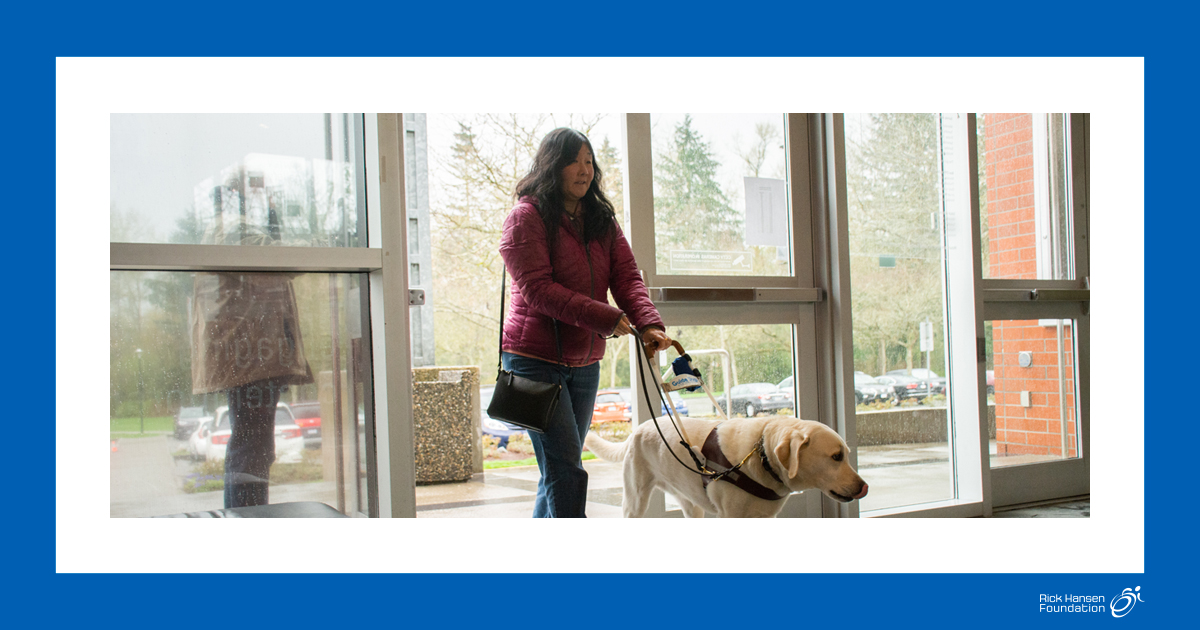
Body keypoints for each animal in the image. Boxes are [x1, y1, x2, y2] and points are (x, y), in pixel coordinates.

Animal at [585, 412, 868, 516]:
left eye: (846, 454)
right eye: (836, 457)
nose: (864, 487)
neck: (761, 457)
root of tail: (639, 427)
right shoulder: (731, 516)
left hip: (691, 504)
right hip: (635, 501)